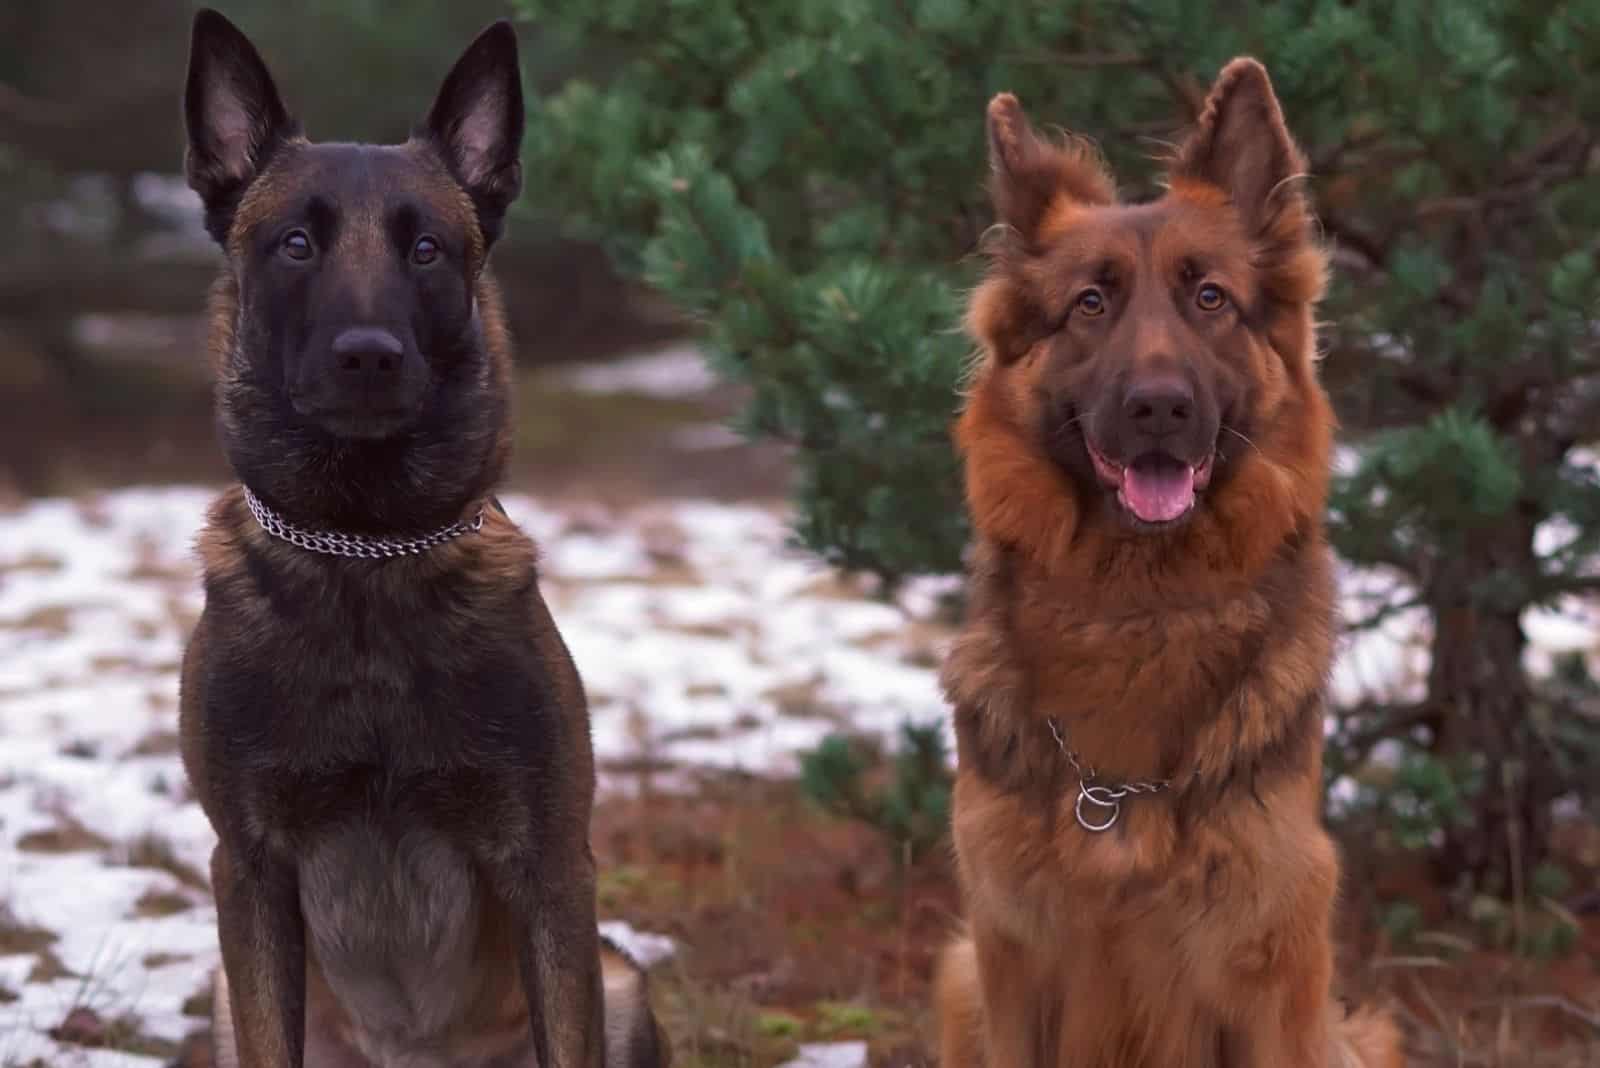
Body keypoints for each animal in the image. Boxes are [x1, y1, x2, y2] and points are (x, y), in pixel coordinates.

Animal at [176, 10, 668, 1068]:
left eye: (430, 251)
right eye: (294, 244)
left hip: (624, 981)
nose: (368, 356)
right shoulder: (249, 871)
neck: (364, 556)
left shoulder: (550, 867)